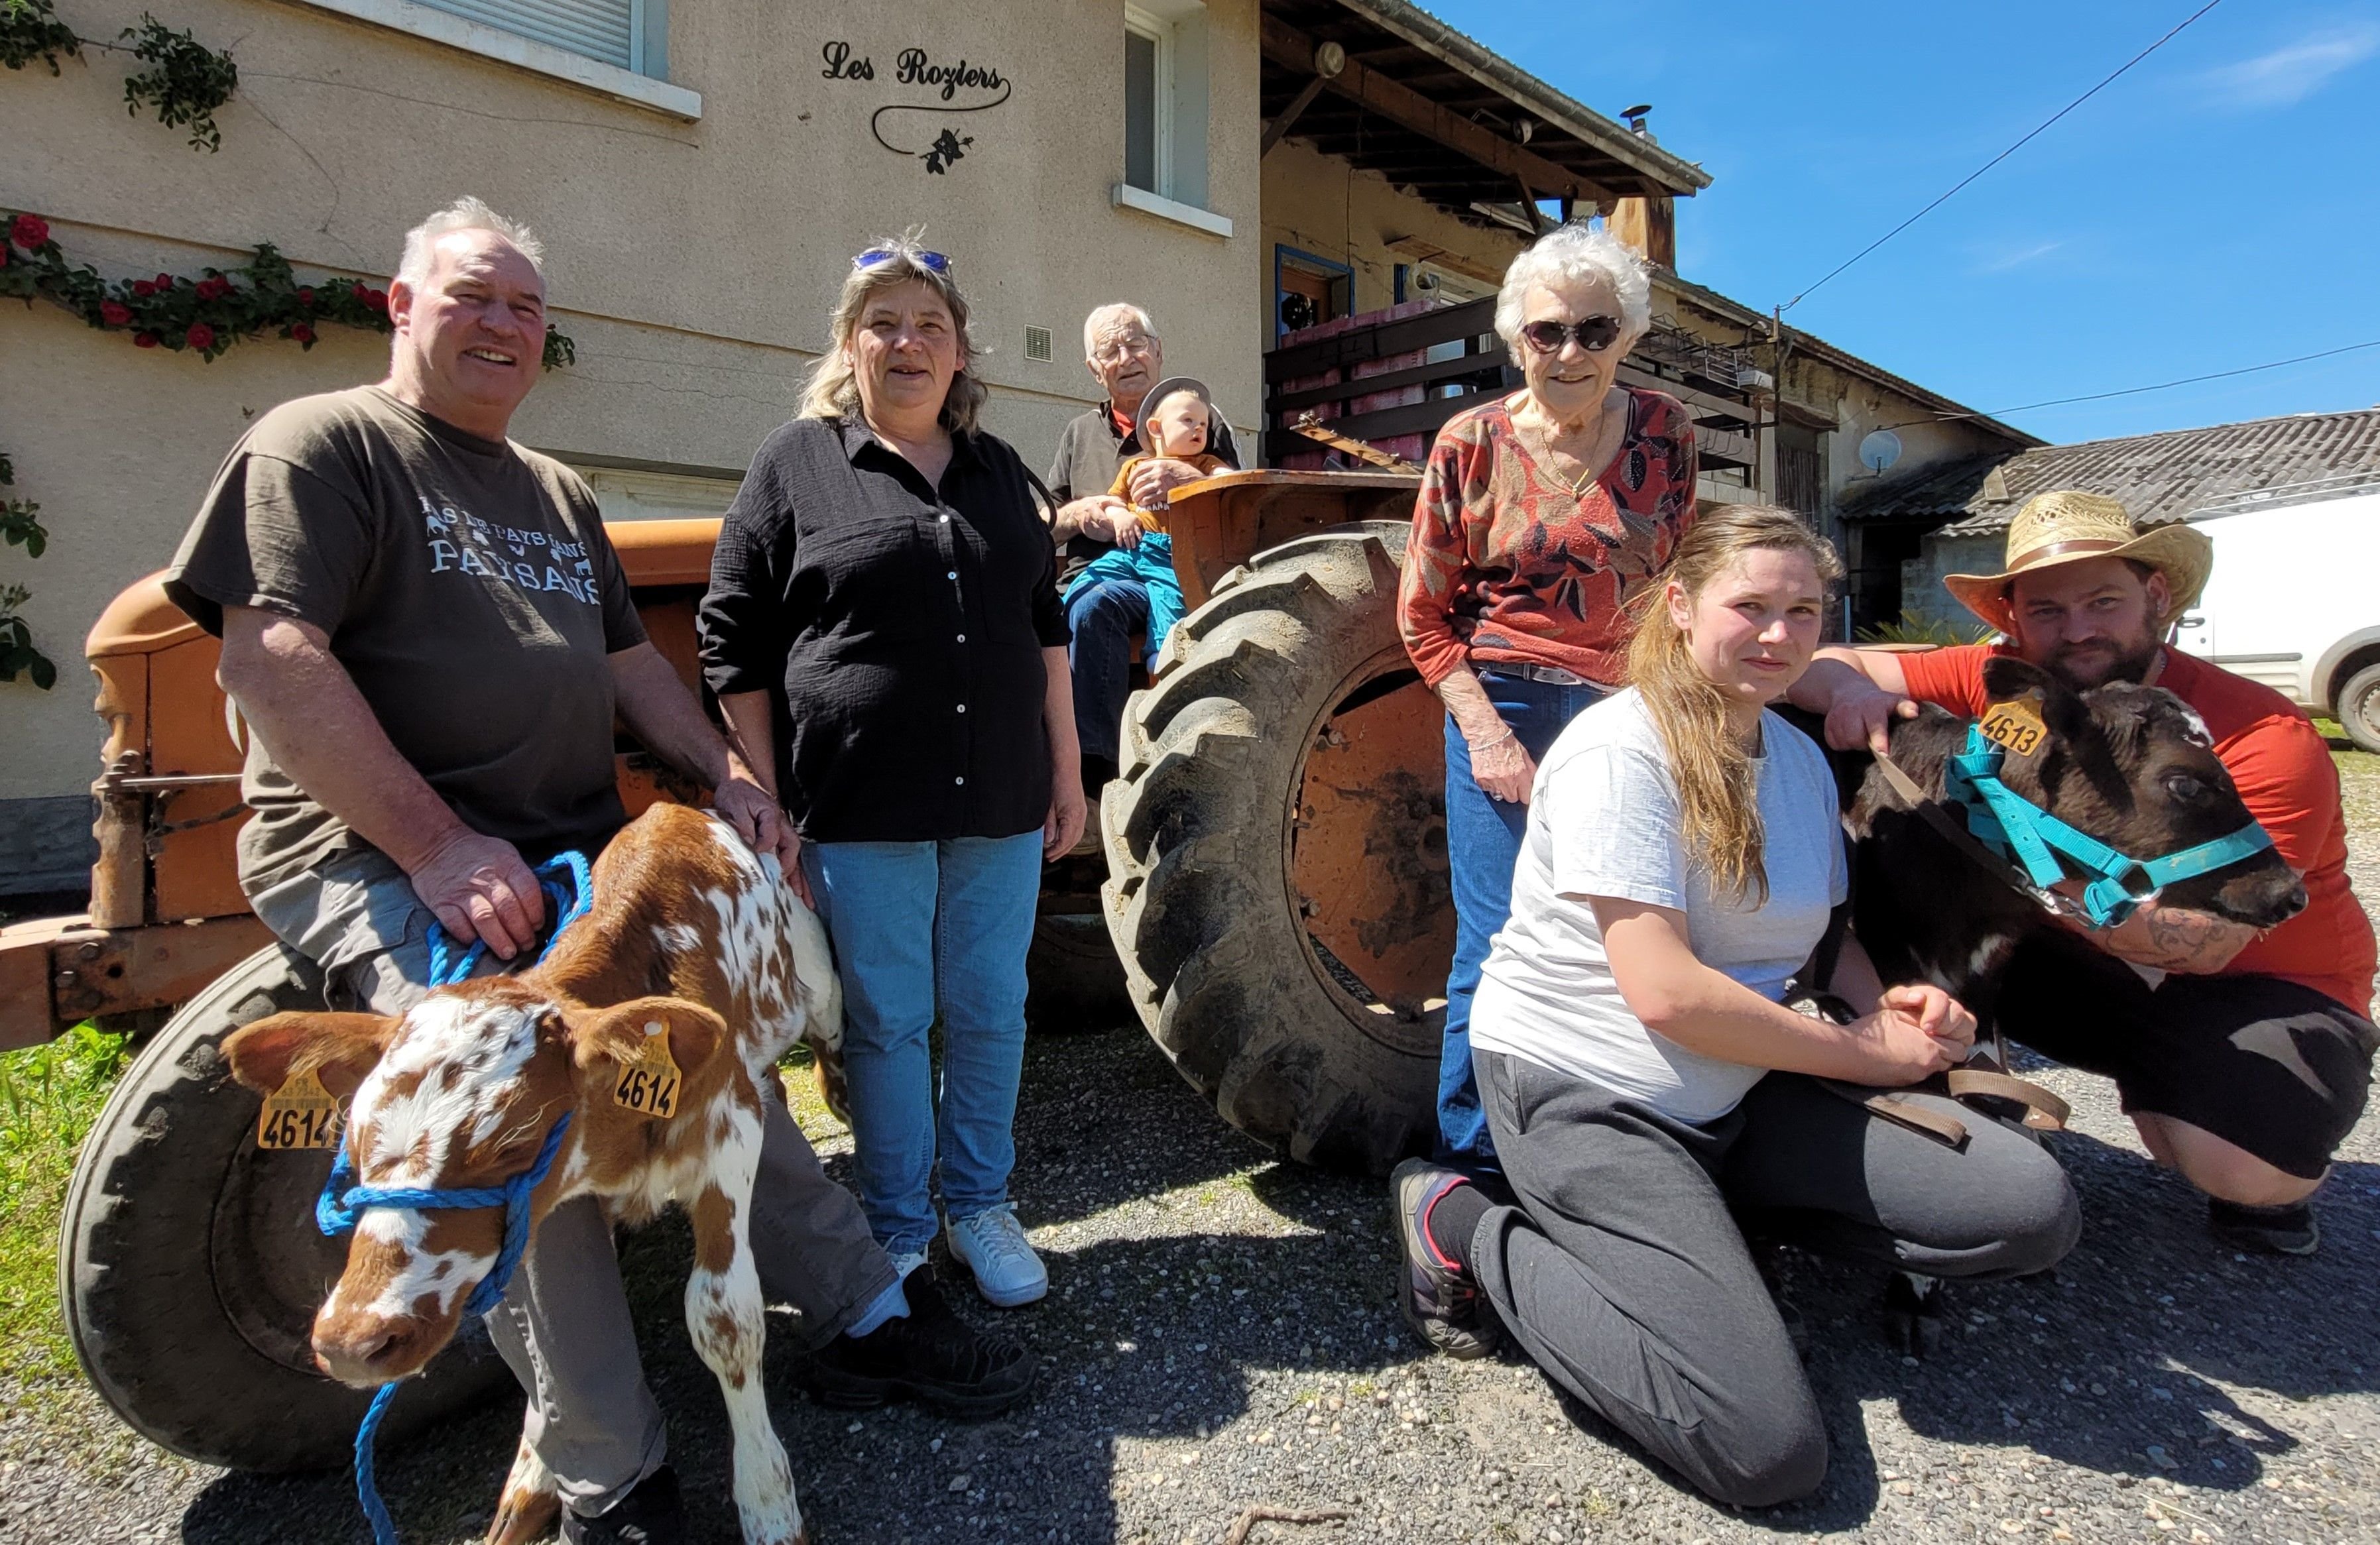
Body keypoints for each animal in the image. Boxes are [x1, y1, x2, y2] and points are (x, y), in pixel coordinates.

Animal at [216, 799, 847, 1542]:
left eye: (513, 1143)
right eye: (356, 1139)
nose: (351, 1340)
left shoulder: (729, 1135)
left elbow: (724, 1319)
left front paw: (767, 1500)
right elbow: (548, 1351)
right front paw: (535, 1478)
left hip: (824, 1003)